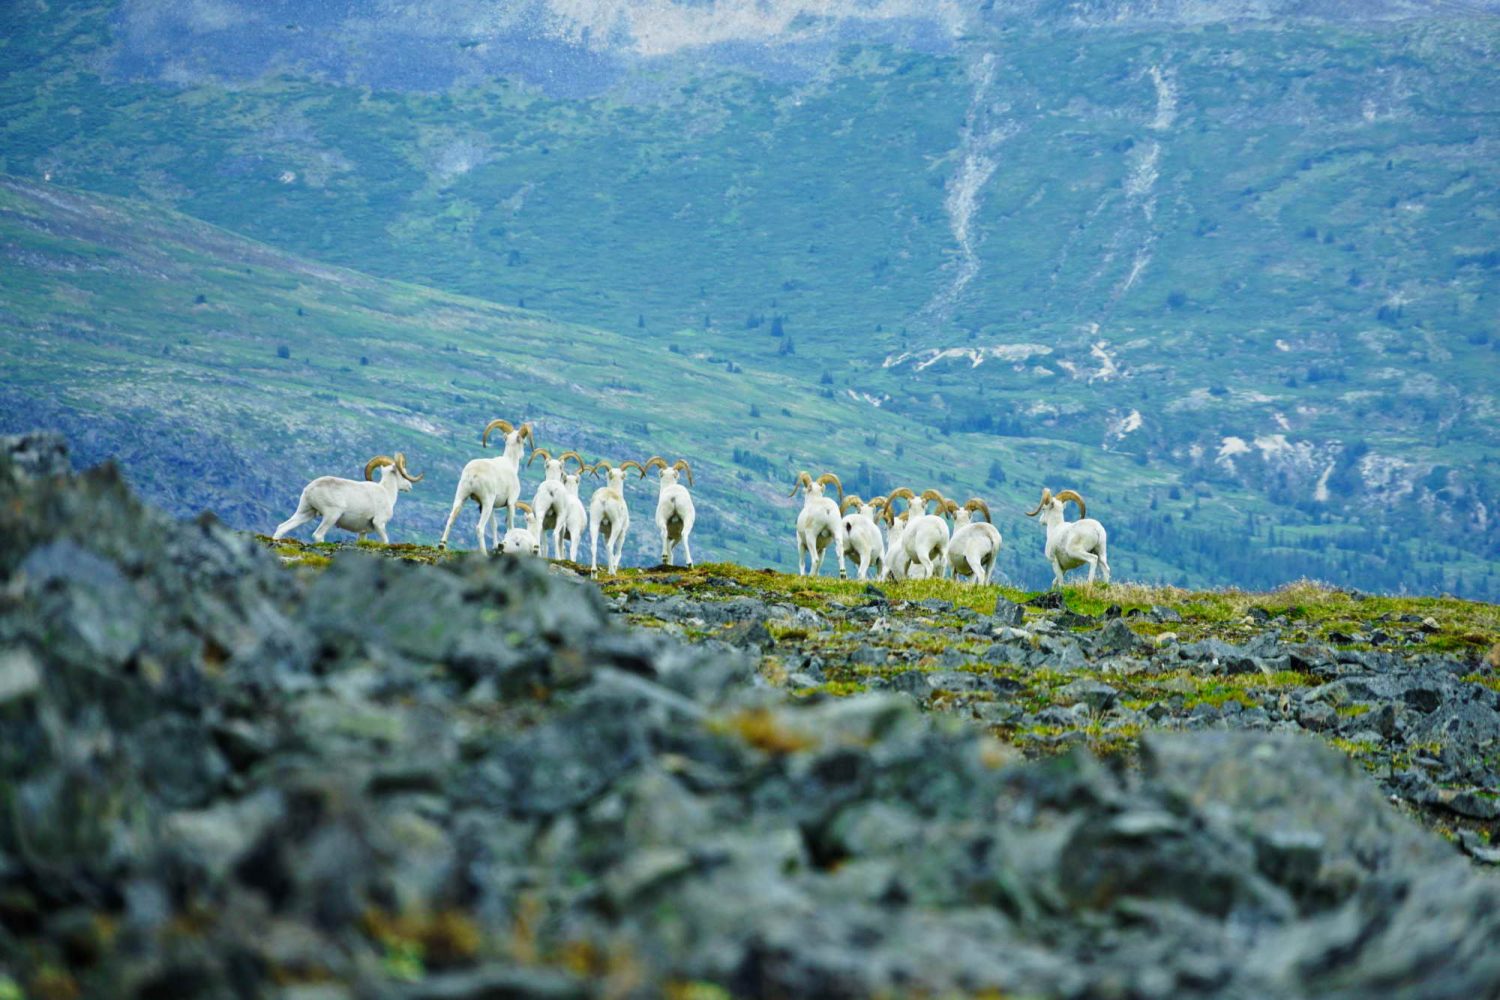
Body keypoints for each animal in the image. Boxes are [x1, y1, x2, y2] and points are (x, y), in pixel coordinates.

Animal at [273, 452, 423, 544]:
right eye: (403, 473)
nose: (409, 486)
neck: (386, 492)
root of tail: (310, 489)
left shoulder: (363, 532)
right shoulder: (379, 523)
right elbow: (385, 541)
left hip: (306, 513)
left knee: (283, 527)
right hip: (331, 515)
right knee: (318, 535)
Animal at [438, 419, 535, 554]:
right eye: (525, 443)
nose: (522, 455)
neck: (510, 463)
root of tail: (473, 473)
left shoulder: (493, 507)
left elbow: (494, 525)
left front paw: (496, 547)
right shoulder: (510, 503)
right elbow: (510, 527)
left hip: (461, 497)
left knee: (451, 518)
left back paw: (442, 545)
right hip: (486, 502)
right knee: (479, 528)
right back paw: (483, 553)